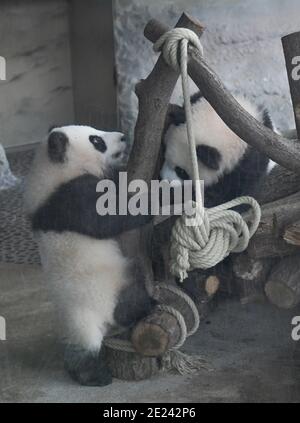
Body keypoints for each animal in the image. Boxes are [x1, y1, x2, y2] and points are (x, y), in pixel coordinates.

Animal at [24, 126, 155, 388]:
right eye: (96, 140)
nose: (124, 137)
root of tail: (103, 323)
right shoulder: (68, 198)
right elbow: (108, 218)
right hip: (98, 299)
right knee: (128, 304)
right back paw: (95, 376)